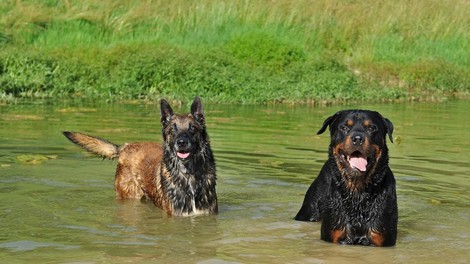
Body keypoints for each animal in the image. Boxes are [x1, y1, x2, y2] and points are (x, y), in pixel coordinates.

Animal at [62, 97, 217, 217]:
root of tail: (125, 146)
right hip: (130, 195)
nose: (182, 142)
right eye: (173, 129)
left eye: (192, 128)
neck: (189, 175)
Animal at [294, 109, 396, 245]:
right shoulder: (333, 234)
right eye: (344, 127)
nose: (357, 138)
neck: (357, 192)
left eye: (372, 128)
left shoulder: (381, 237)